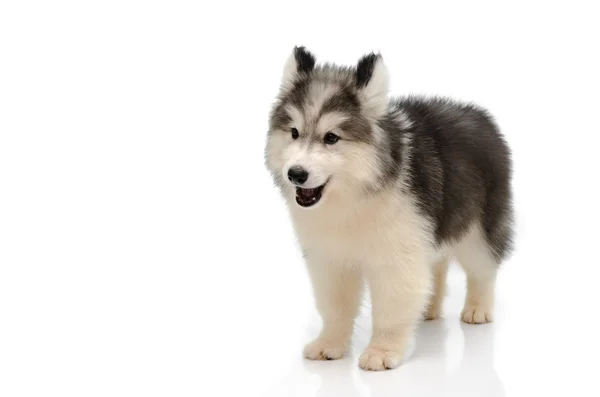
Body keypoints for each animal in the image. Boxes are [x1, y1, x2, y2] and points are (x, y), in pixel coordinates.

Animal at [264, 47, 512, 372]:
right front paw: (329, 344)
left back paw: (478, 309)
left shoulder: (396, 259)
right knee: (436, 268)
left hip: (478, 230)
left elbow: (391, 310)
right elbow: (334, 306)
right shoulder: (329, 259)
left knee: (483, 270)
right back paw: (427, 308)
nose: (295, 174)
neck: (352, 197)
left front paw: (382, 351)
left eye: (331, 137)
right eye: (294, 132)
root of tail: (479, 115)